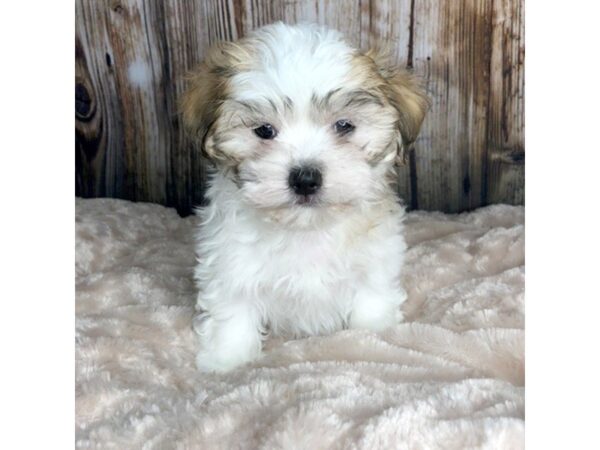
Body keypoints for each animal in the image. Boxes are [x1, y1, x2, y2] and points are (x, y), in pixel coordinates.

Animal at [180, 22, 428, 372]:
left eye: (344, 125)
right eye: (264, 131)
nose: (306, 178)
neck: (306, 229)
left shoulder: (374, 265)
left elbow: (371, 305)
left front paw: (374, 337)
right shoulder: (230, 266)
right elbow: (233, 315)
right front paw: (226, 360)